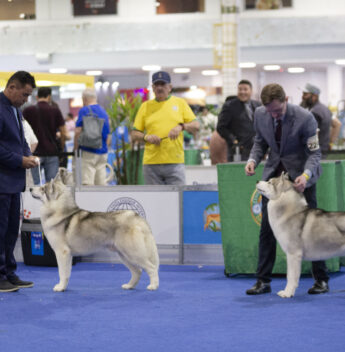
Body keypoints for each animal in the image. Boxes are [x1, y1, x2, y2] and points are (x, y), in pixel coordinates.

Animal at [29, 168, 159, 292]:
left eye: (42, 189)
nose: (30, 188)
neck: (59, 210)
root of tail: (136, 217)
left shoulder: (62, 253)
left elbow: (62, 273)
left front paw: (60, 287)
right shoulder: (68, 255)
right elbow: (67, 273)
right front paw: (64, 287)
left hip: (133, 253)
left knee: (152, 268)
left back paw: (153, 286)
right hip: (123, 255)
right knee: (138, 271)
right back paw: (129, 285)